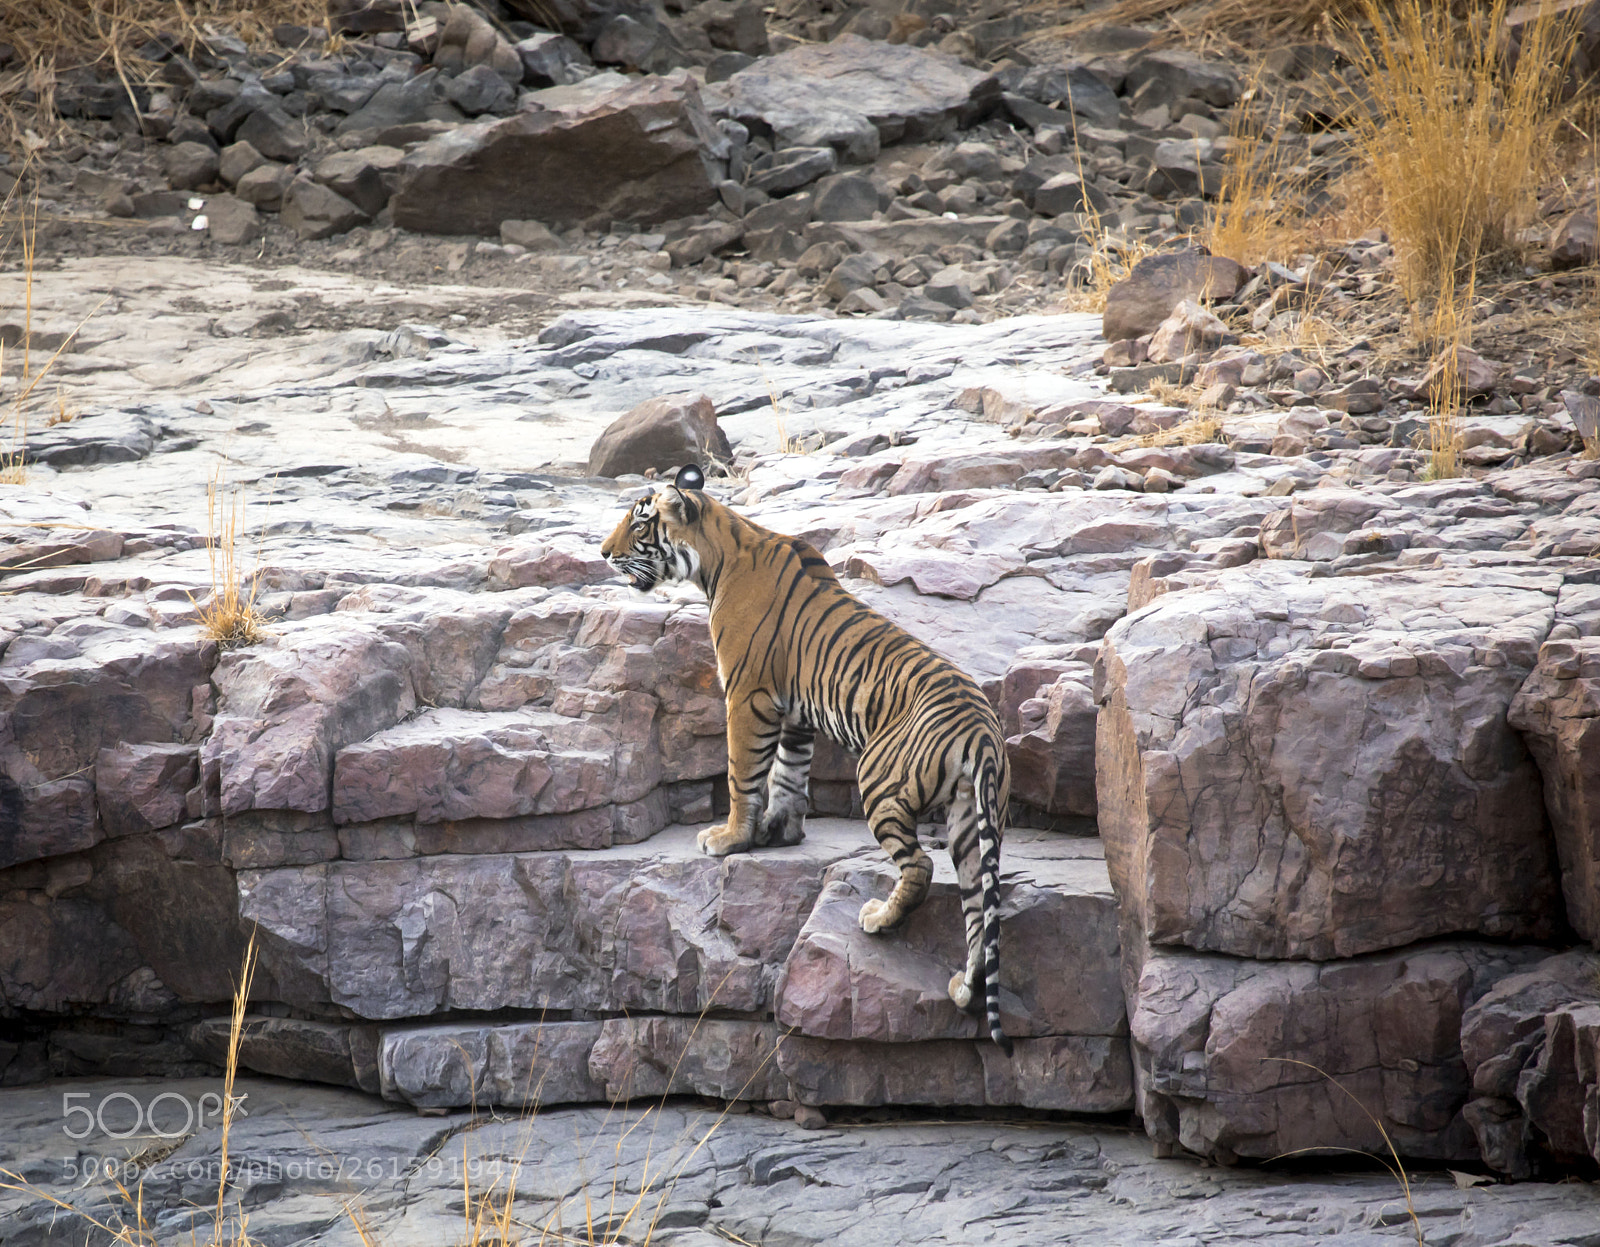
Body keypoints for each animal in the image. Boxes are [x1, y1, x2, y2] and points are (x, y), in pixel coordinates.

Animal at [601, 461, 1011, 1056]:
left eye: (639, 524)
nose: (602, 553)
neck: (719, 554)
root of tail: (981, 731)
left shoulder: (746, 695)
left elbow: (742, 773)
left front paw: (730, 839)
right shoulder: (793, 709)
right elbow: (787, 775)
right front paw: (780, 831)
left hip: (879, 779)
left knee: (921, 866)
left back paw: (879, 918)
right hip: (970, 816)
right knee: (978, 900)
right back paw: (964, 986)